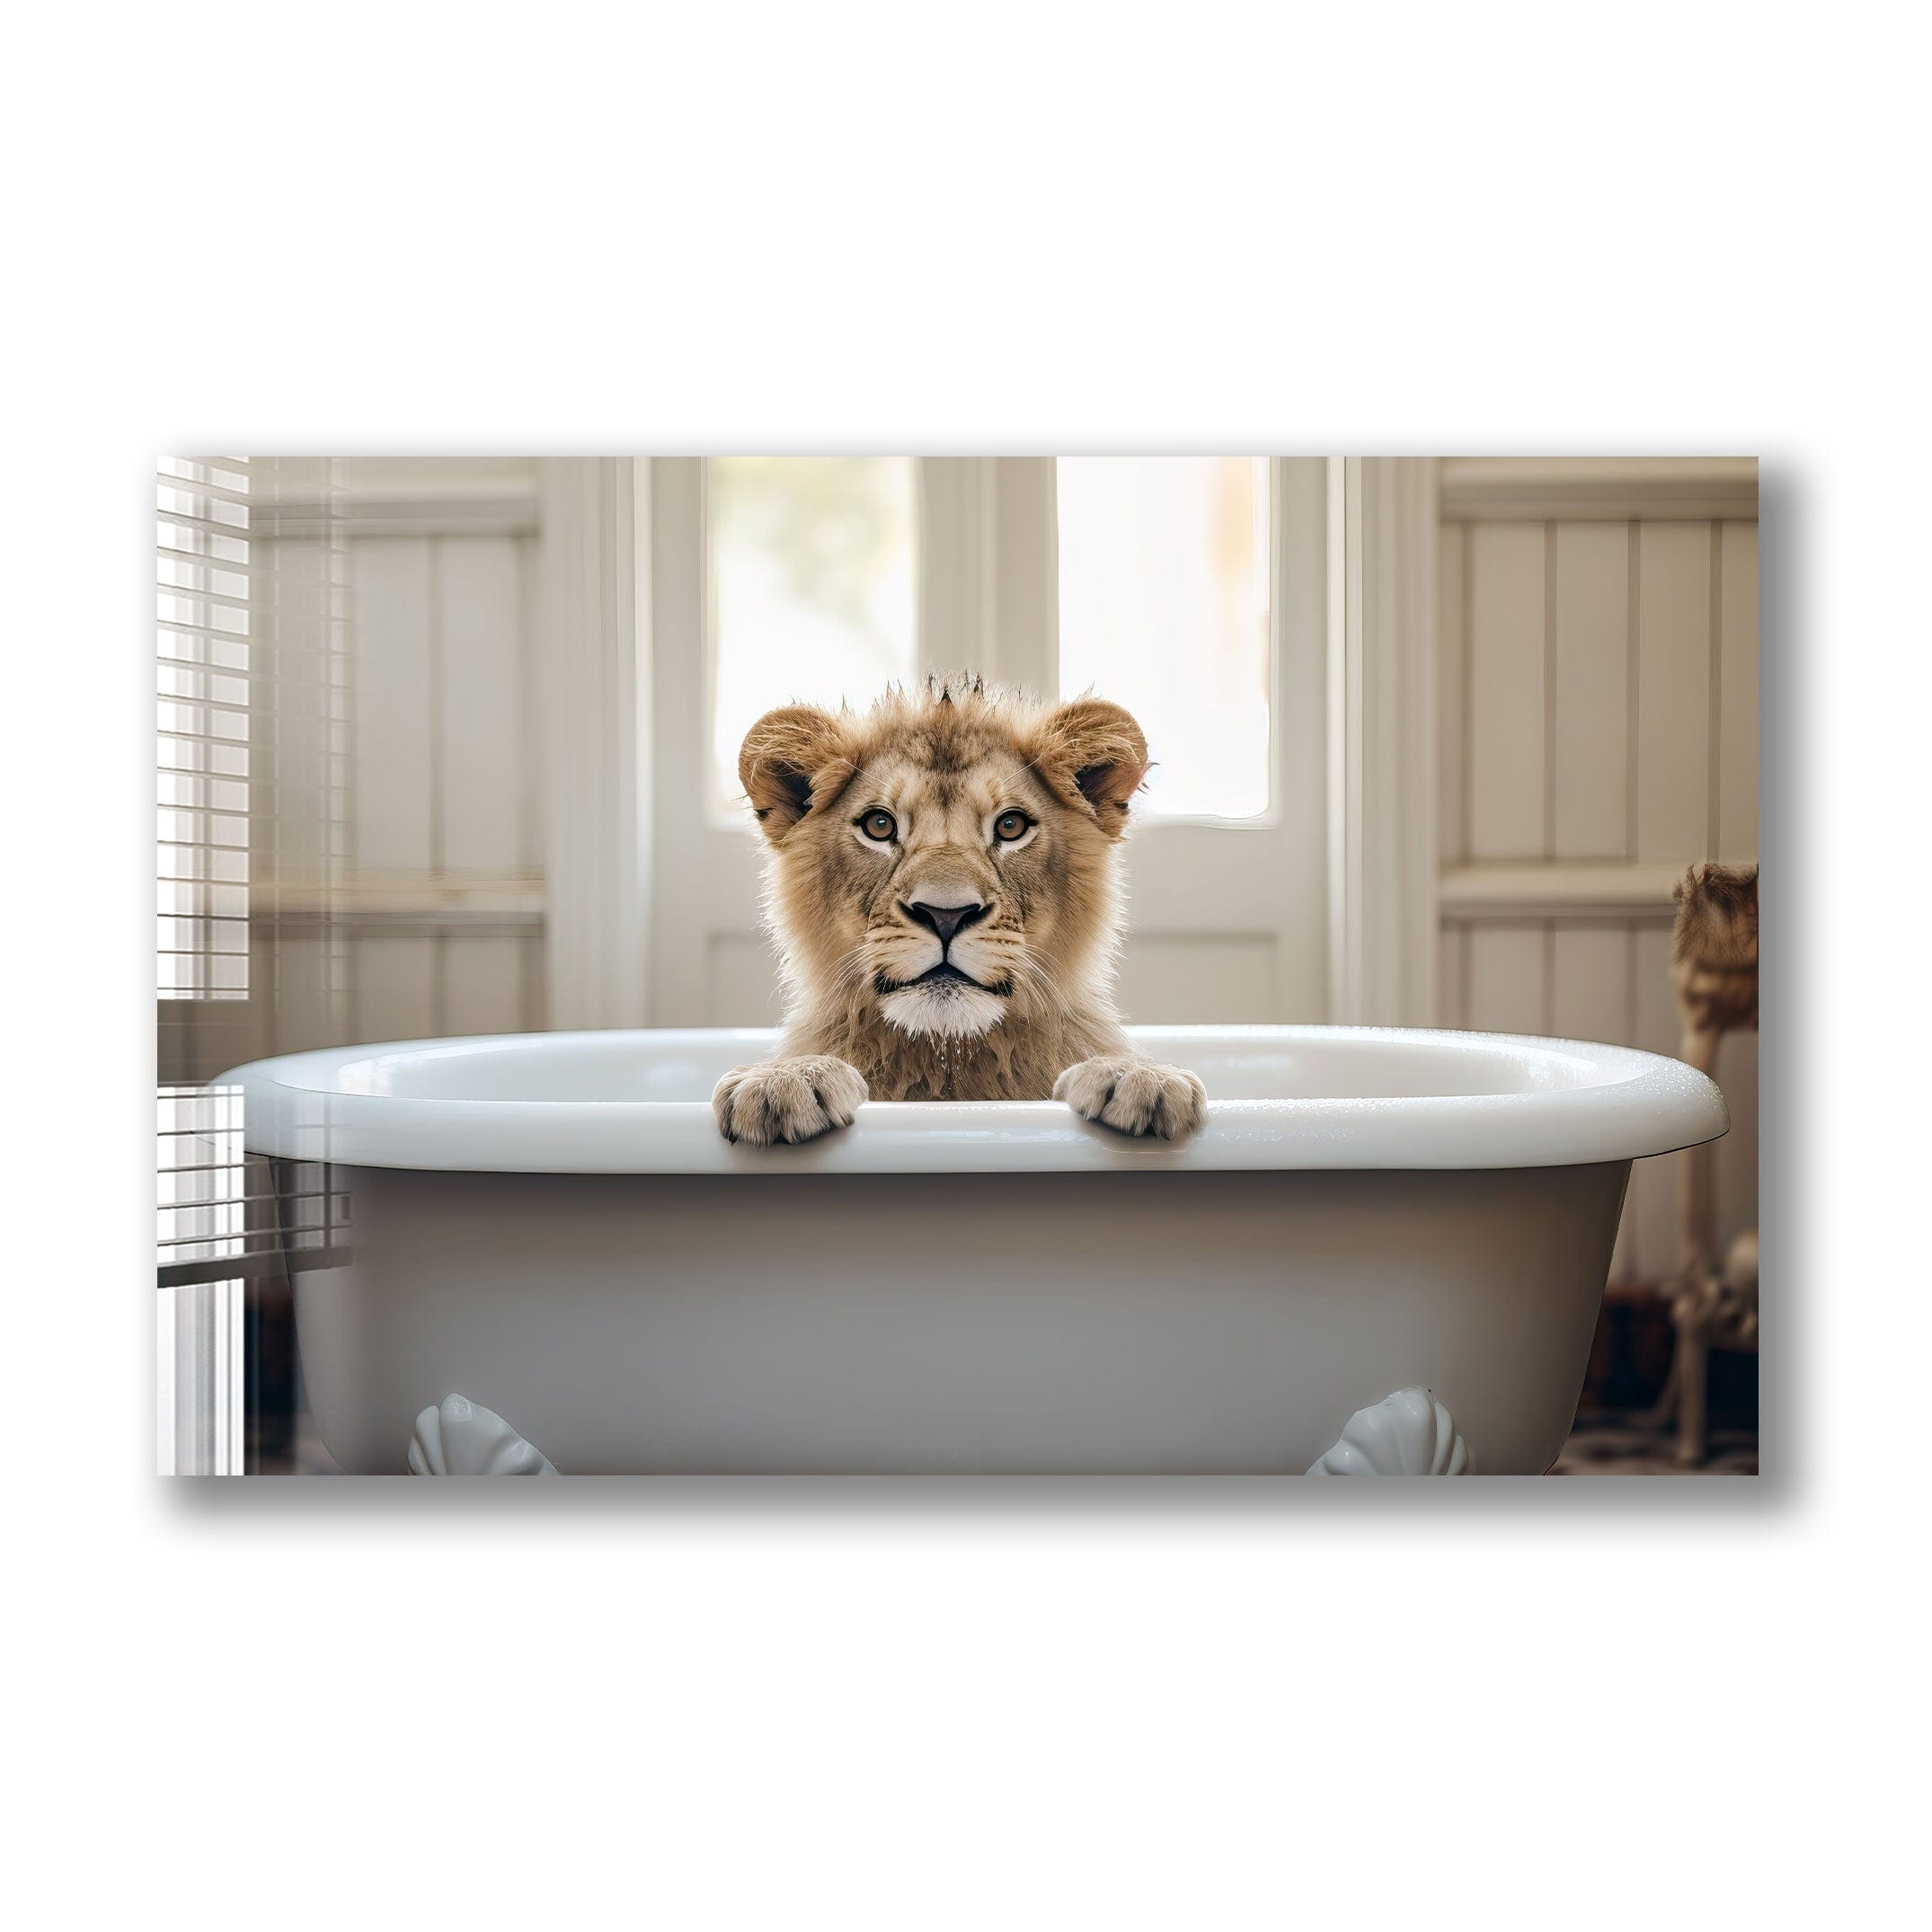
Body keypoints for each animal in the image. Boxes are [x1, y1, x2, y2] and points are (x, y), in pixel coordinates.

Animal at [711, 675, 1207, 1146]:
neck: (948, 1056)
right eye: (879, 825)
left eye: (1011, 826)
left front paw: (1134, 1076)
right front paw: (786, 1080)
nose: (946, 915)